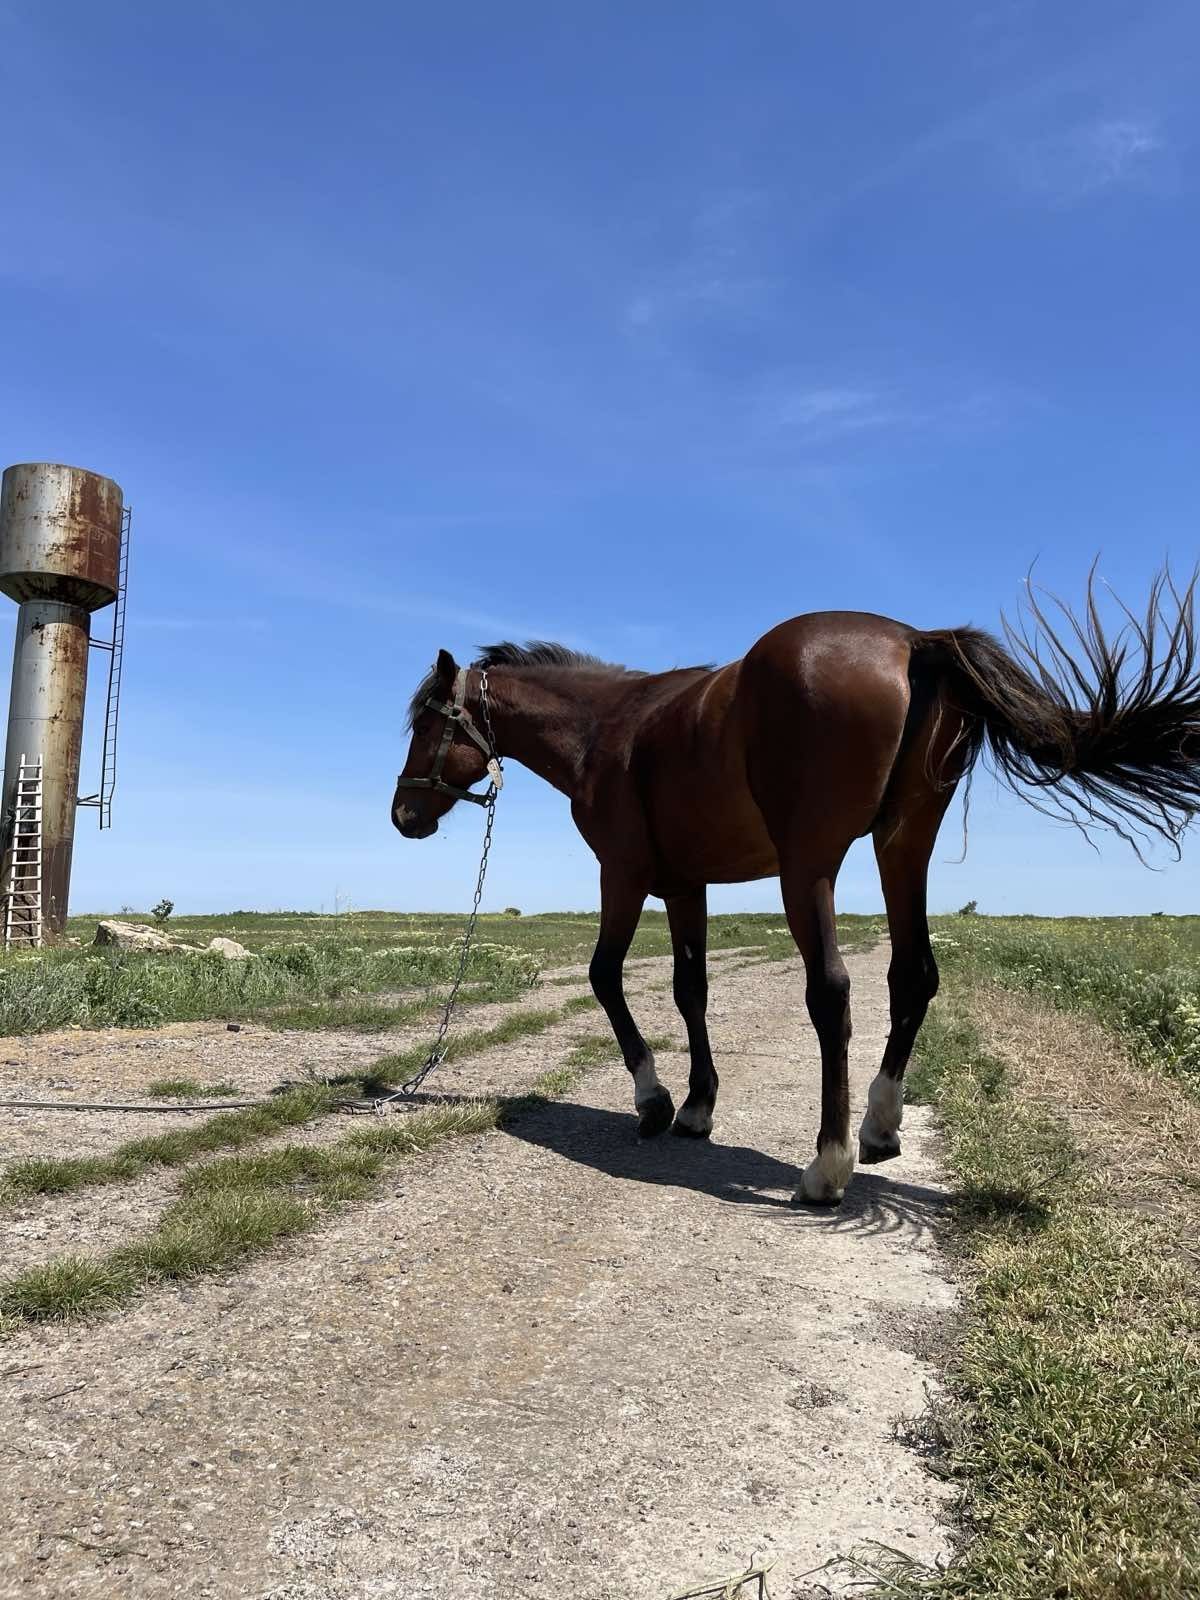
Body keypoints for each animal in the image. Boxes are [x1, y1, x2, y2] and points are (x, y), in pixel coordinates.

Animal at [395, 582, 1200, 1203]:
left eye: (428, 721)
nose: (403, 815)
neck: (608, 730)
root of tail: (914, 641)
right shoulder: (686, 888)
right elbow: (691, 991)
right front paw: (697, 1105)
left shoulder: (621, 877)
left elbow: (605, 977)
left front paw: (654, 1099)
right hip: (903, 849)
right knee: (913, 975)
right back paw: (878, 1123)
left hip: (807, 868)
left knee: (832, 993)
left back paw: (828, 1163)